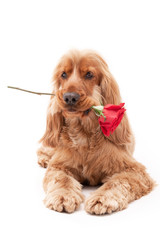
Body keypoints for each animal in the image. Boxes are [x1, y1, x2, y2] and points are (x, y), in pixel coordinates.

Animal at [37, 49, 154, 215]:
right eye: (63, 74)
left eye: (89, 74)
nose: (69, 97)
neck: (84, 134)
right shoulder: (59, 166)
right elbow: (61, 179)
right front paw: (63, 195)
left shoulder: (134, 170)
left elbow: (118, 182)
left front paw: (102, 199)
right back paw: (44, 158)